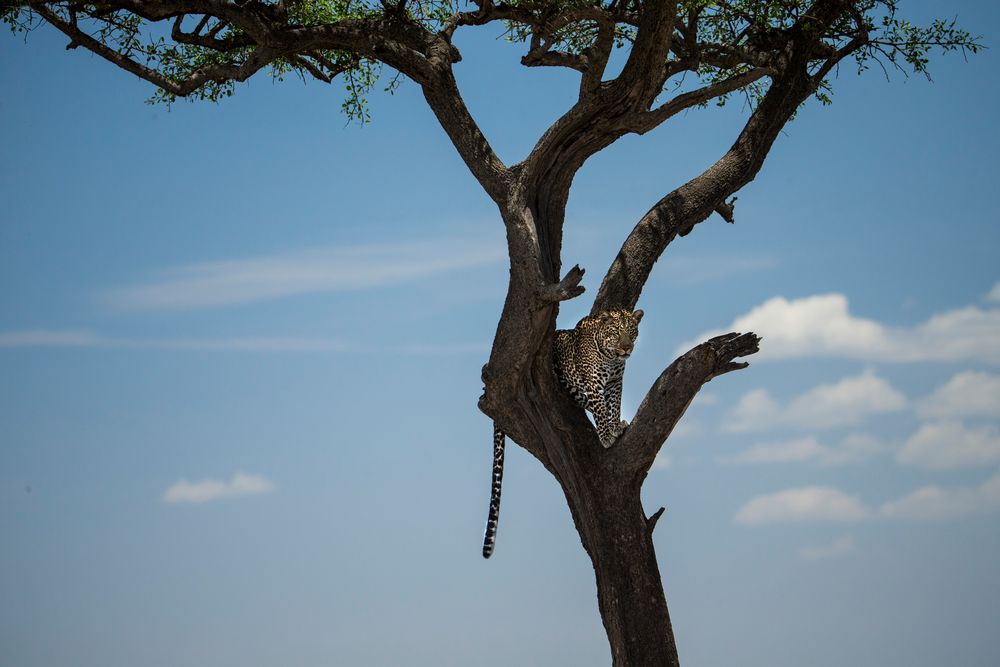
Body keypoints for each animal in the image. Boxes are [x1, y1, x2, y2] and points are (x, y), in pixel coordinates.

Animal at [482, 308, 640, 560]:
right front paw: (607, 436)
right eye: (616, 332)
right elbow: (601, 409)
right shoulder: (594, 383)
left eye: (632, 332)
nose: (626, 348)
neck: (611, 358)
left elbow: (614, 405)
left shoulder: (616, 382)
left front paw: (616, 426)